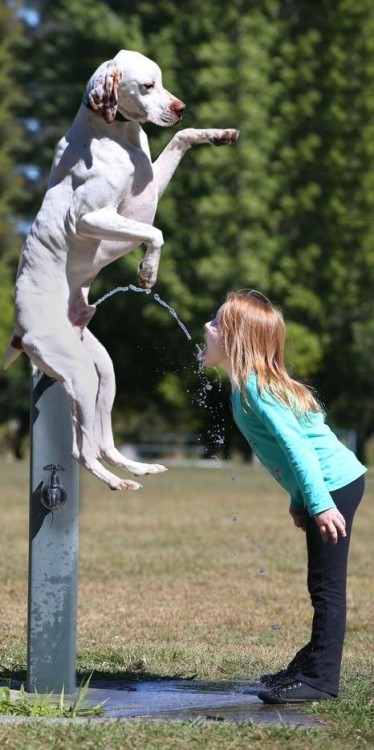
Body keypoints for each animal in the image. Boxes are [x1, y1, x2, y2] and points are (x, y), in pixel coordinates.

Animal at [4, 50, 240, 490]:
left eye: (161, 81)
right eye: (146, 86)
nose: (180, 107)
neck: (117, 135)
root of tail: (19, 330)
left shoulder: (150, 189)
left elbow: (182, 138)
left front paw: (219, 134)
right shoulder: (90, 216)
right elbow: (155, 232)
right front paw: (147, 272)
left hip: (102, 372)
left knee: (102, 442)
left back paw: (137, 468)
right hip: (79, 374)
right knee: (81, 451)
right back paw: (116, 482)